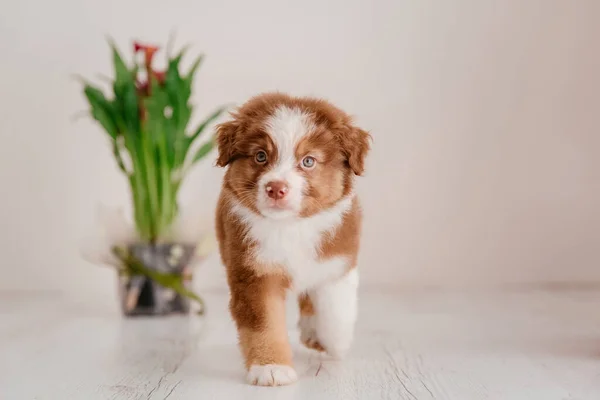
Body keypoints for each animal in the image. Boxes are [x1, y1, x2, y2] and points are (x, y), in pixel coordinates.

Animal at [211, 92, 370, 386]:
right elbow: (265, 324)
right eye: (260, 156)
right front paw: (271, 367)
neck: (291, 227)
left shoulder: (337, 259)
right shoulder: (254, 272)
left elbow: (336, 308)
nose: (276, 188)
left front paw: (335, 343)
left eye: (308, 161)